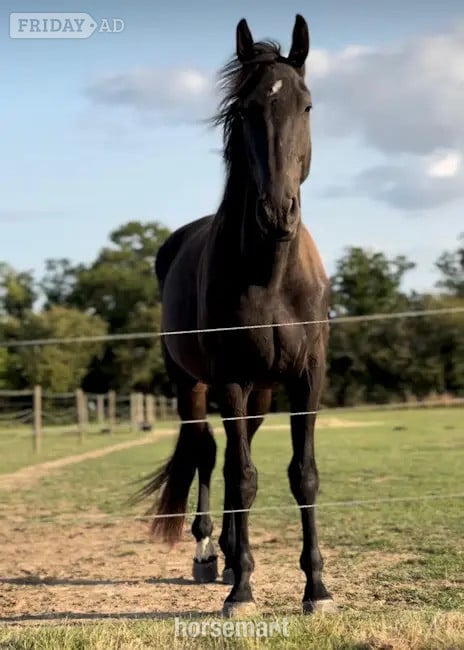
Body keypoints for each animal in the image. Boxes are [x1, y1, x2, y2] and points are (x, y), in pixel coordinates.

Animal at [136, 14, 335, 617]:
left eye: (306, 105)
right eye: (246, 110)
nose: (277, 214)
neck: (270, 274)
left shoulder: (307, 377)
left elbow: (302, 475)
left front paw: (317, 590)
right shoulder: (230, 377)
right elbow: (241, 475)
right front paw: (242, 591)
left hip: (262, 393)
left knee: (228, 451)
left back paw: (227, 553)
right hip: (195, 385)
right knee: (208, 453)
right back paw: (209, 555)